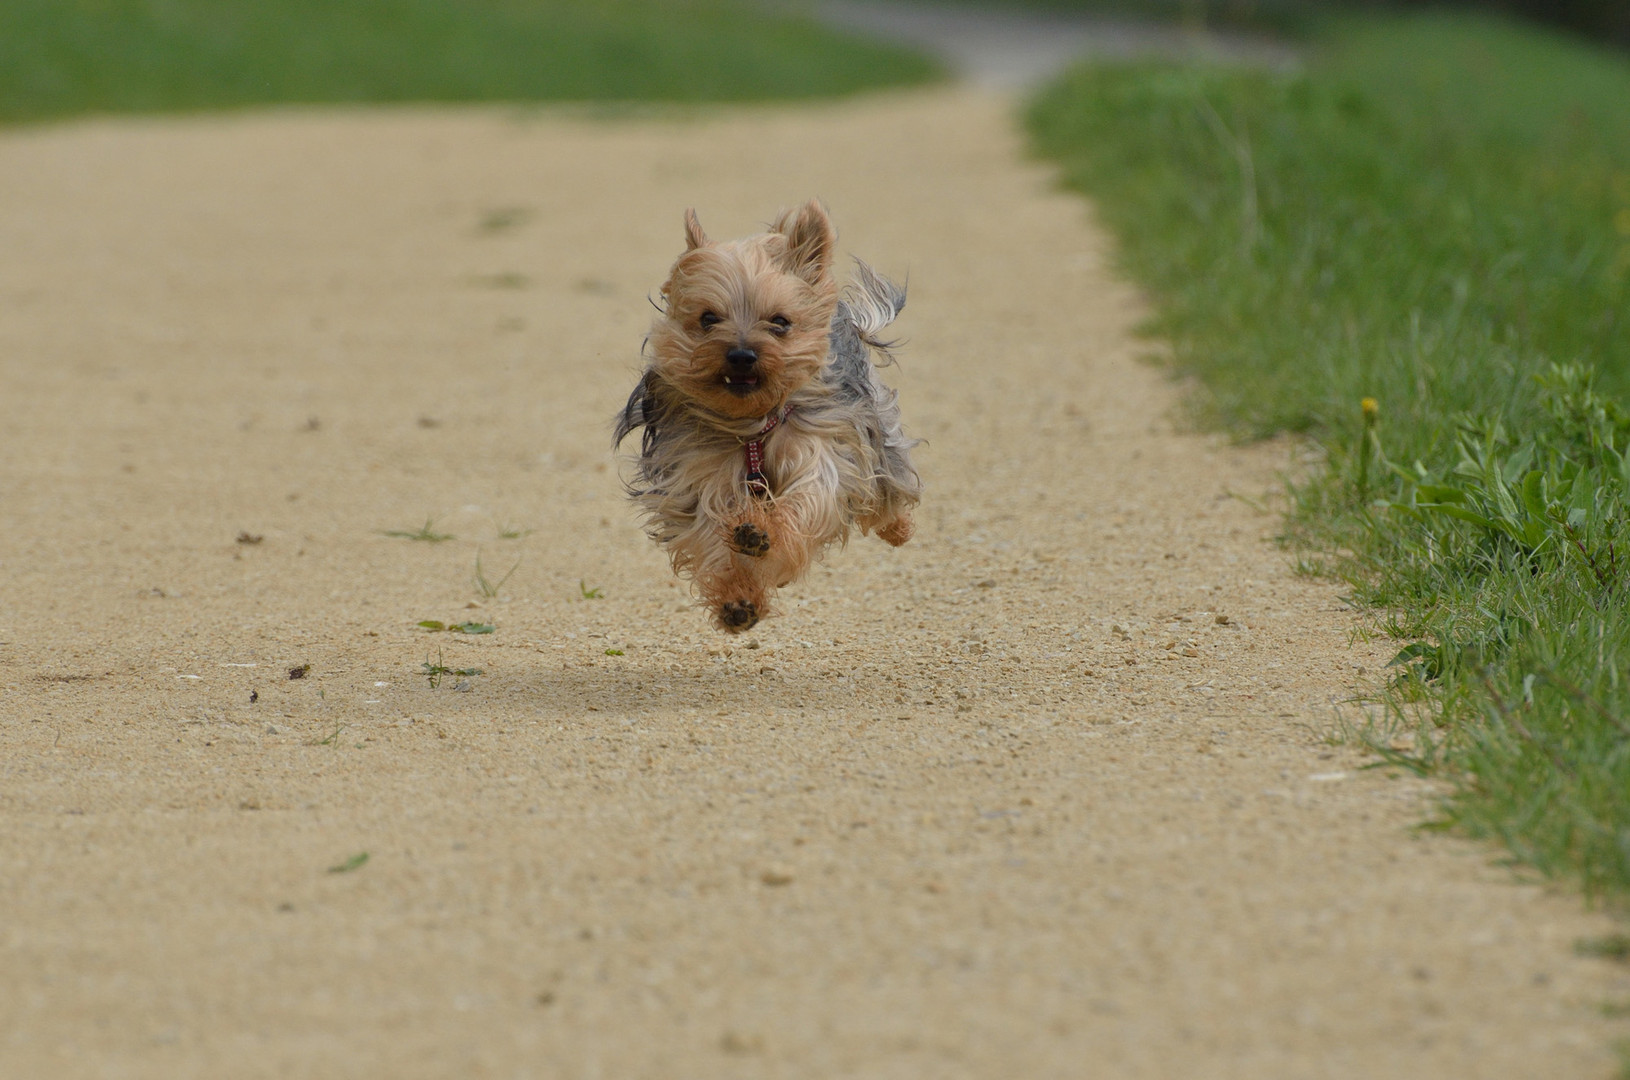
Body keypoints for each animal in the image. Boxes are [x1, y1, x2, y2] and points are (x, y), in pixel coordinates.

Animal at [612, 200, 919, 635]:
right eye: (708, 319)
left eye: (780, 322)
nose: (741, 355)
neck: (751, 426)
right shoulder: (701, 476)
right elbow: (709, 534)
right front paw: (738, 601)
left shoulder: (818, 448)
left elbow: (809, 497)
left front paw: (761, 532)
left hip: (877, 429)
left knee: (887, 479)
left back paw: (896, 527)